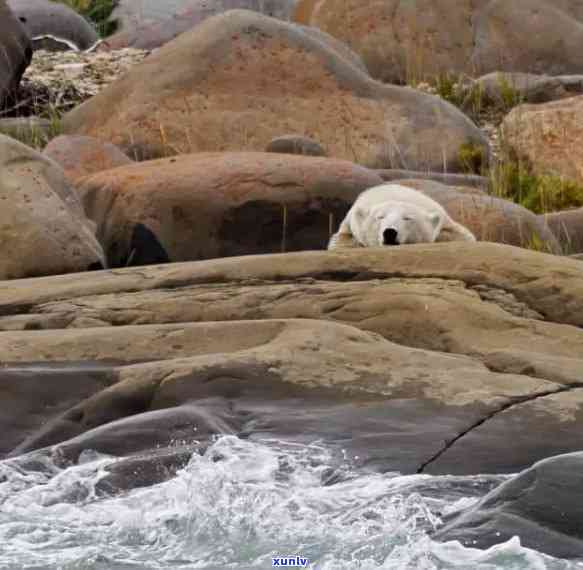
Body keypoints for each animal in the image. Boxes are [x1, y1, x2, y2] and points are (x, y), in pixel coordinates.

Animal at [328, 184, 474, 248]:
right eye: (380, 217)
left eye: (407, 218)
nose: (390, 232)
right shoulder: (349, 225)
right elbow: (341, 241)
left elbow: (463, 237)